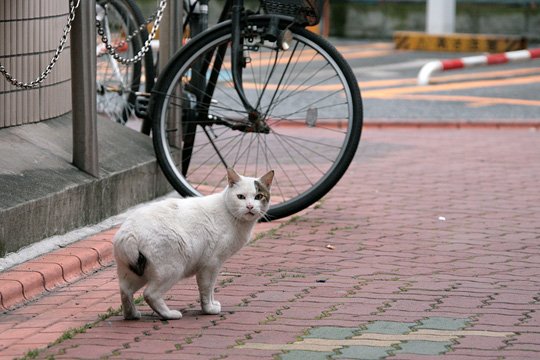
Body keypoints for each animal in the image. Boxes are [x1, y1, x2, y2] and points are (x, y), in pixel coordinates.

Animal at [114, 169, 274, 320]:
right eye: (240, 197)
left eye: (258, 196)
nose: (250, 206)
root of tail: (129, 233)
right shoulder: (211, 264)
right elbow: (207, 289)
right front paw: (209, 309)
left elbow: (210, 289)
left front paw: (212, 304)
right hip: (172, 269)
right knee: (150, 294)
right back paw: (169, 314)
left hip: (134, 272)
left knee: (125, 291)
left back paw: (132, 315)